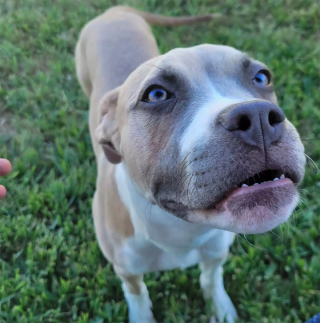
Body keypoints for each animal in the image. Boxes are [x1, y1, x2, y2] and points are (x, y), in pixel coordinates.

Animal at [75, 5, 304, 323]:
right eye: (156, 94)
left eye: (262, 77)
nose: (258, 117)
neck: (181, 229)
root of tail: (115, 9)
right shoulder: (126, 269)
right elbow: (137, 293)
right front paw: (141, 315)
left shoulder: (216, 253)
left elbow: (211, 279)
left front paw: (220, 308)